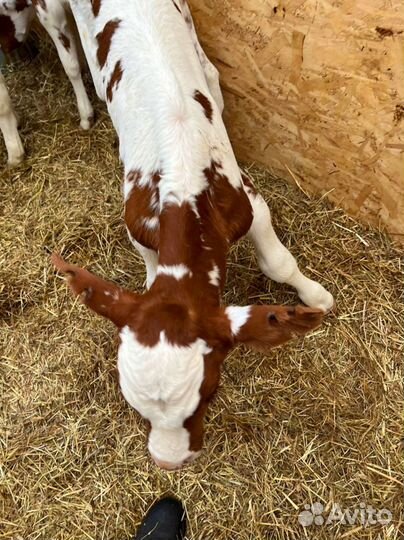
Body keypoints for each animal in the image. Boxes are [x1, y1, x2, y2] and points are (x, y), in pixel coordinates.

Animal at [51, 0, 334, 468]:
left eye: (210, 393)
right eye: (133, 405)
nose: (168, 461)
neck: (183, 188)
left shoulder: (246, 200)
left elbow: (278, 261)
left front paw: (315, 296)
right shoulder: (136, 222)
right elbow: (149, 269)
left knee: (210, 73)